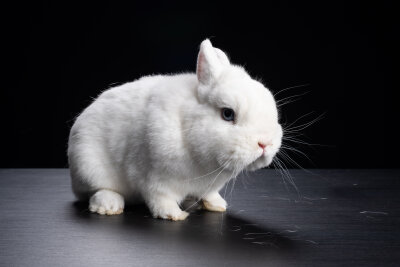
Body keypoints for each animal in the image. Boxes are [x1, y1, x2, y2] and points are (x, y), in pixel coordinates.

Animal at [68, 38, 282, 221]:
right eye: (227, 114)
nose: (265, 143)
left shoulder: (209, 186)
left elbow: (210, 195)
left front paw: (218, 205)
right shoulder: (153, 178)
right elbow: (160, 199)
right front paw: (175, 215)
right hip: (89, 167)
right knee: (97, 191)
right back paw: (109, 206)